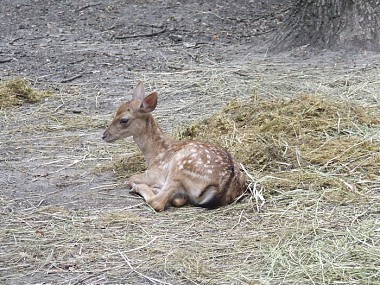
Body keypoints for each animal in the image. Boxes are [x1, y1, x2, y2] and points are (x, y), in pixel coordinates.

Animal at [102, 81, 245, 210]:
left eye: (124, 120)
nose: (104, 135)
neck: (154, 153)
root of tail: (225, 184)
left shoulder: (154, 173)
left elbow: (131, 178)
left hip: (179, 167)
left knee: (157, 202)